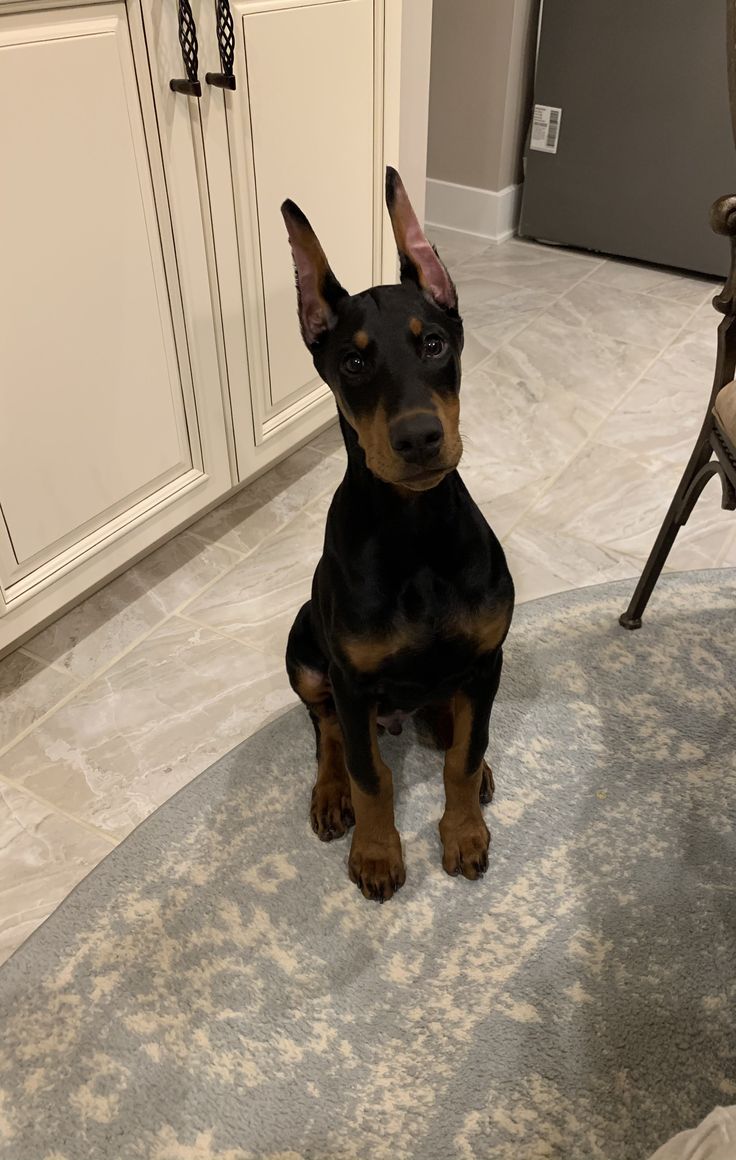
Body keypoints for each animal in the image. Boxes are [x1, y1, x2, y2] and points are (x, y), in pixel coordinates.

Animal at [279, 168, 510, 900]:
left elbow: (465, 755)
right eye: (353, 364)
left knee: (453, 721)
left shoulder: (489, 657)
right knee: (326, 729)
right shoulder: (351, 681)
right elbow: (369, 772)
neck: (415, 532)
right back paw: (331, 796)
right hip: (305, 651)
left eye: (434, 343)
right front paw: (378, 851)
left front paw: (463, 832)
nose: (418, 439)